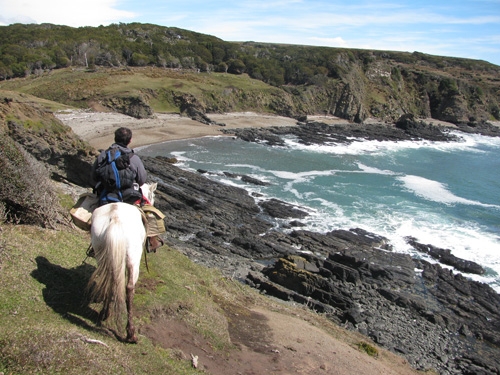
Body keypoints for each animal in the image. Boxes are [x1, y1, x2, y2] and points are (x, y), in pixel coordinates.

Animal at [87, 182, 155, 344]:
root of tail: (116, 219)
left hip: (102, 254)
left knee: (110, 280)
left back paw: (105, 313)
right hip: (133, 258)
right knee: (129, 288)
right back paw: (130, 334)